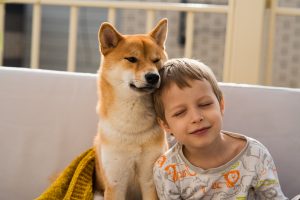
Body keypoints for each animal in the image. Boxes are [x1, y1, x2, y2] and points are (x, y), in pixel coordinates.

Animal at [94, 19, 169, 200]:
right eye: (132, 59)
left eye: (156, 60)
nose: (153, 76)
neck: (133, 129)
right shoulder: (115, 183)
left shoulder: (150, 180)